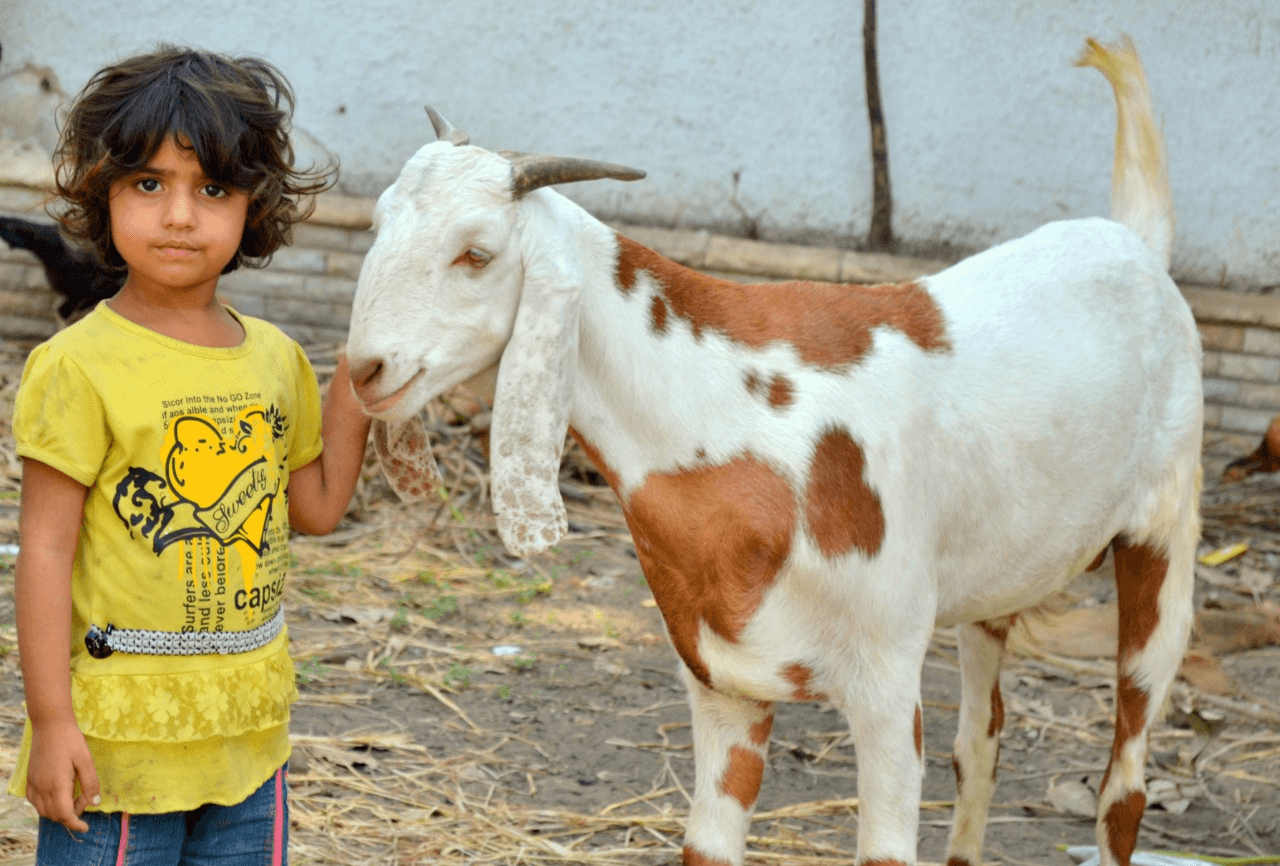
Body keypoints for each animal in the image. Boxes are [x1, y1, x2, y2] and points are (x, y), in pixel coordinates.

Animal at [345, 36, 1202, 866]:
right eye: (378, 226)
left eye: (477, 253)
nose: (364, 369)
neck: (738, 415)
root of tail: (1136, 243)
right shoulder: (722, 685)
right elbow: (706, 845)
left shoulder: (886, 684)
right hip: (997, 582)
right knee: (980, 746)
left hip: (1165, 538)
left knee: (1124, 785)